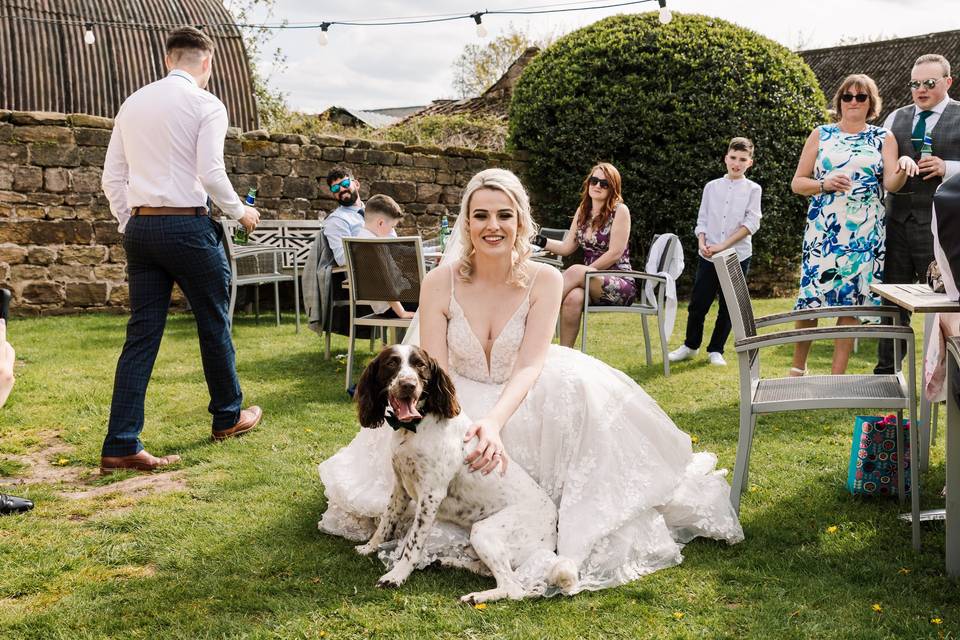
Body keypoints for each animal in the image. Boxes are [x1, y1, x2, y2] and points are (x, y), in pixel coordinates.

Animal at [354, 344, 572, 600]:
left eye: (420, 365)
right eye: (391, 363)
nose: (408, 385)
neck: (413, 428)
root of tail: (552, 533)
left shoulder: (431, 495)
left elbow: (412, 543)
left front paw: (396, 575)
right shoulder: (400, 486)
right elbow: (386, 522)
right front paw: (369, 547)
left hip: (484, 531)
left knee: (514, 588)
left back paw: (476, 597)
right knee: (491, 572)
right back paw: (449, 562)